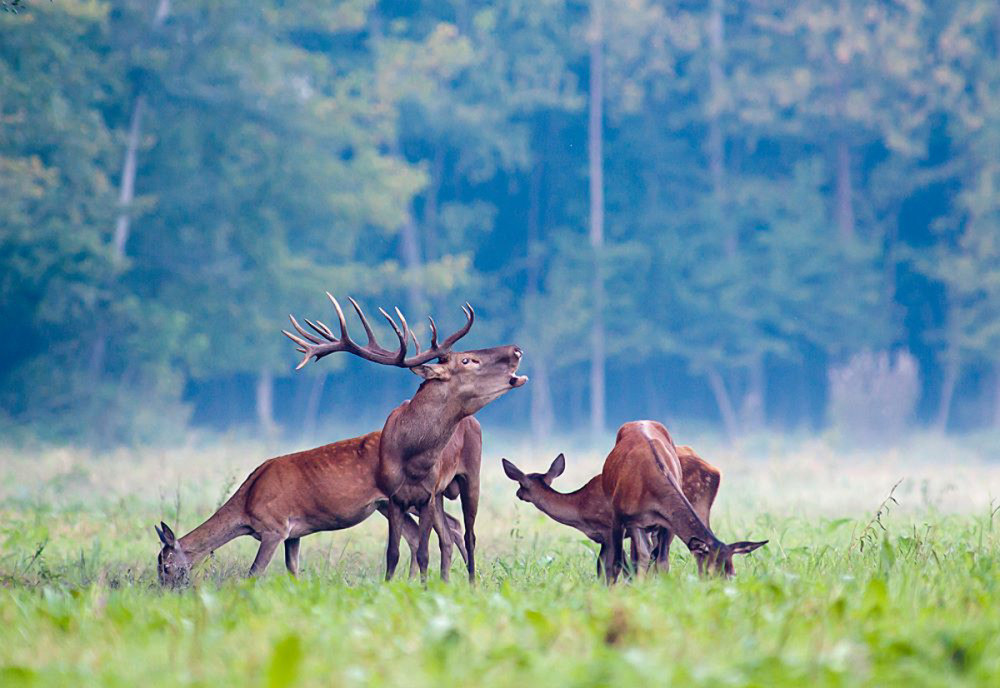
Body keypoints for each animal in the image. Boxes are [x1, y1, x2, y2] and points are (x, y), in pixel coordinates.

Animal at [155, 430, 464, 584]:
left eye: (166, 566)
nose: (165, 592)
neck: (247, 505)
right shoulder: (294, 534)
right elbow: (293, 569)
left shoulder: (274, 527)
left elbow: (254, 572)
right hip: (387, 505)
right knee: (429, 530)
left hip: (401, 498)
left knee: (450, 525)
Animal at [286, 294, 528, 580]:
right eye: (467, 360)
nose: (516, 350)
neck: (413, 458)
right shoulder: (394, 497)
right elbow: (393, 553)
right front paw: (391, 584)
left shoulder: (426, 496)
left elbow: (423, 552)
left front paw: (422, 586)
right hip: (442, 494)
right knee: (448, 537)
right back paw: (446, 581)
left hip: (471, 474)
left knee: (469, 535)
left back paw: (471, 583)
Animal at [504, 444, 724, 576]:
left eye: (521, 484)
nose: (518, 493)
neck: (580, 509)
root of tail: (715, 471)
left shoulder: (610, 527)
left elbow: (611, 567)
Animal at [600, 420, 764, 580]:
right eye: (710, 572)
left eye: (732, 574)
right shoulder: (617, 515)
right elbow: (615, 564)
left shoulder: (667, 522)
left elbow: (662, 563)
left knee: (644, 555)